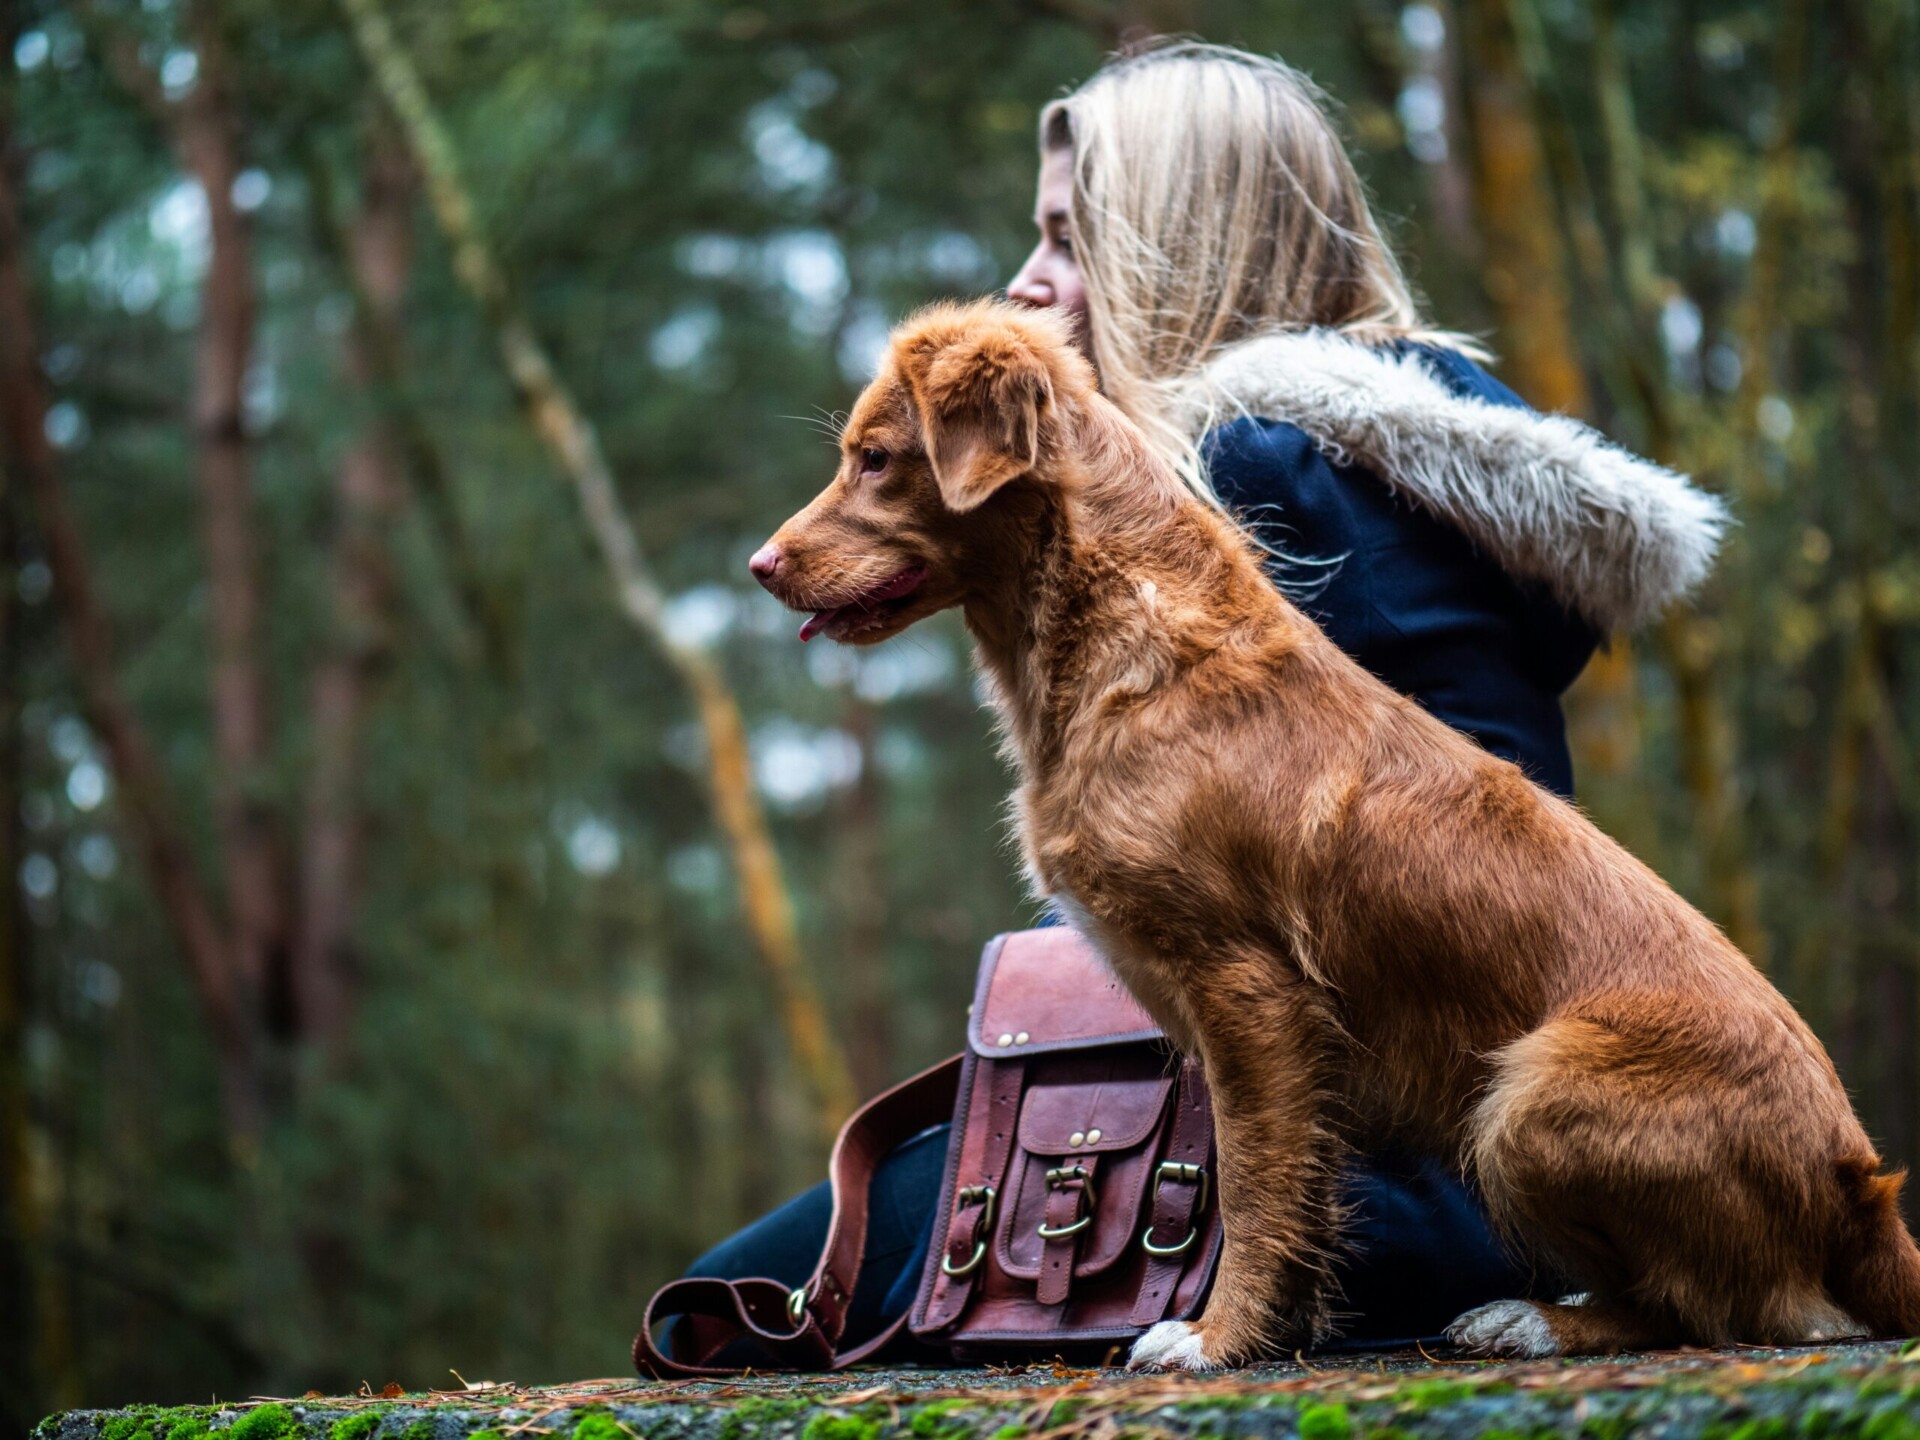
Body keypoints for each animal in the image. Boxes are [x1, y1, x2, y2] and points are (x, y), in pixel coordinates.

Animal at [744, 299, 1920, 1367]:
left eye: (876, 459)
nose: (759, 565)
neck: (1121, 638)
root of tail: (1859, 1184)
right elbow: (1296, 1193)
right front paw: (1280, 1332)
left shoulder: (1248, 991)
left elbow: (1253, 1188)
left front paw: (1210, 1341)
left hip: (1527, 1097)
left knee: (1717, 1308)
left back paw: (1535, 1320)